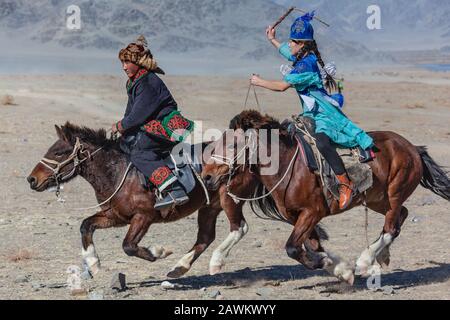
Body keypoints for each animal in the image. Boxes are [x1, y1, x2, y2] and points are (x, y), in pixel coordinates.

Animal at [28, 124, 258, 278]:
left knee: (239, 228)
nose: (32, 179)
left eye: (58, 152)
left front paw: (159, 251)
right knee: (205, 237)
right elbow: (86, 225)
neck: (118, 171)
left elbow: (128, 246)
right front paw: (93, 262)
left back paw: (215, 262)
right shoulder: (116, 217)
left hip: (230, 200)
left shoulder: (143, 217)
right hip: (209, 207)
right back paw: (178, 268)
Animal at [202, 110, 450, 282]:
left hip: (395, 193)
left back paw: (365, 260)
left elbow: (293, 248)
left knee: (391, 226)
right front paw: (340, 270)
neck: (289, 165)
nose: (206, 176)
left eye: (233, 145)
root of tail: (413, 148)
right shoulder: (296, 216)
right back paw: (382, 256)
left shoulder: (312, 212)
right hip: (378, 199)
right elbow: (313, 245)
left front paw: (328, 264)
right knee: (401, 216)